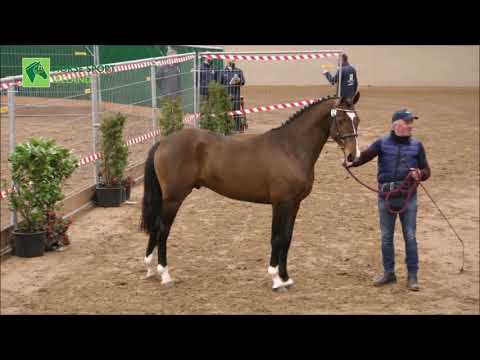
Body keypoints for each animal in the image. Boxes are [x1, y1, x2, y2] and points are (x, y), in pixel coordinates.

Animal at [141, 91, 362, 292]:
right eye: (341, 119)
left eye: (357, 120)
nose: (353, 155)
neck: (290, 148)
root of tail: (163, 142)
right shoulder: (281, 203)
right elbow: (277, 238)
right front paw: (276, 280)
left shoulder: (294, 204)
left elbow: (287, 238)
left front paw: (286, 278)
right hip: (174, 199)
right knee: (163, 230)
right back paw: (165, 275)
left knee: (155, 227)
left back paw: (150, 269)